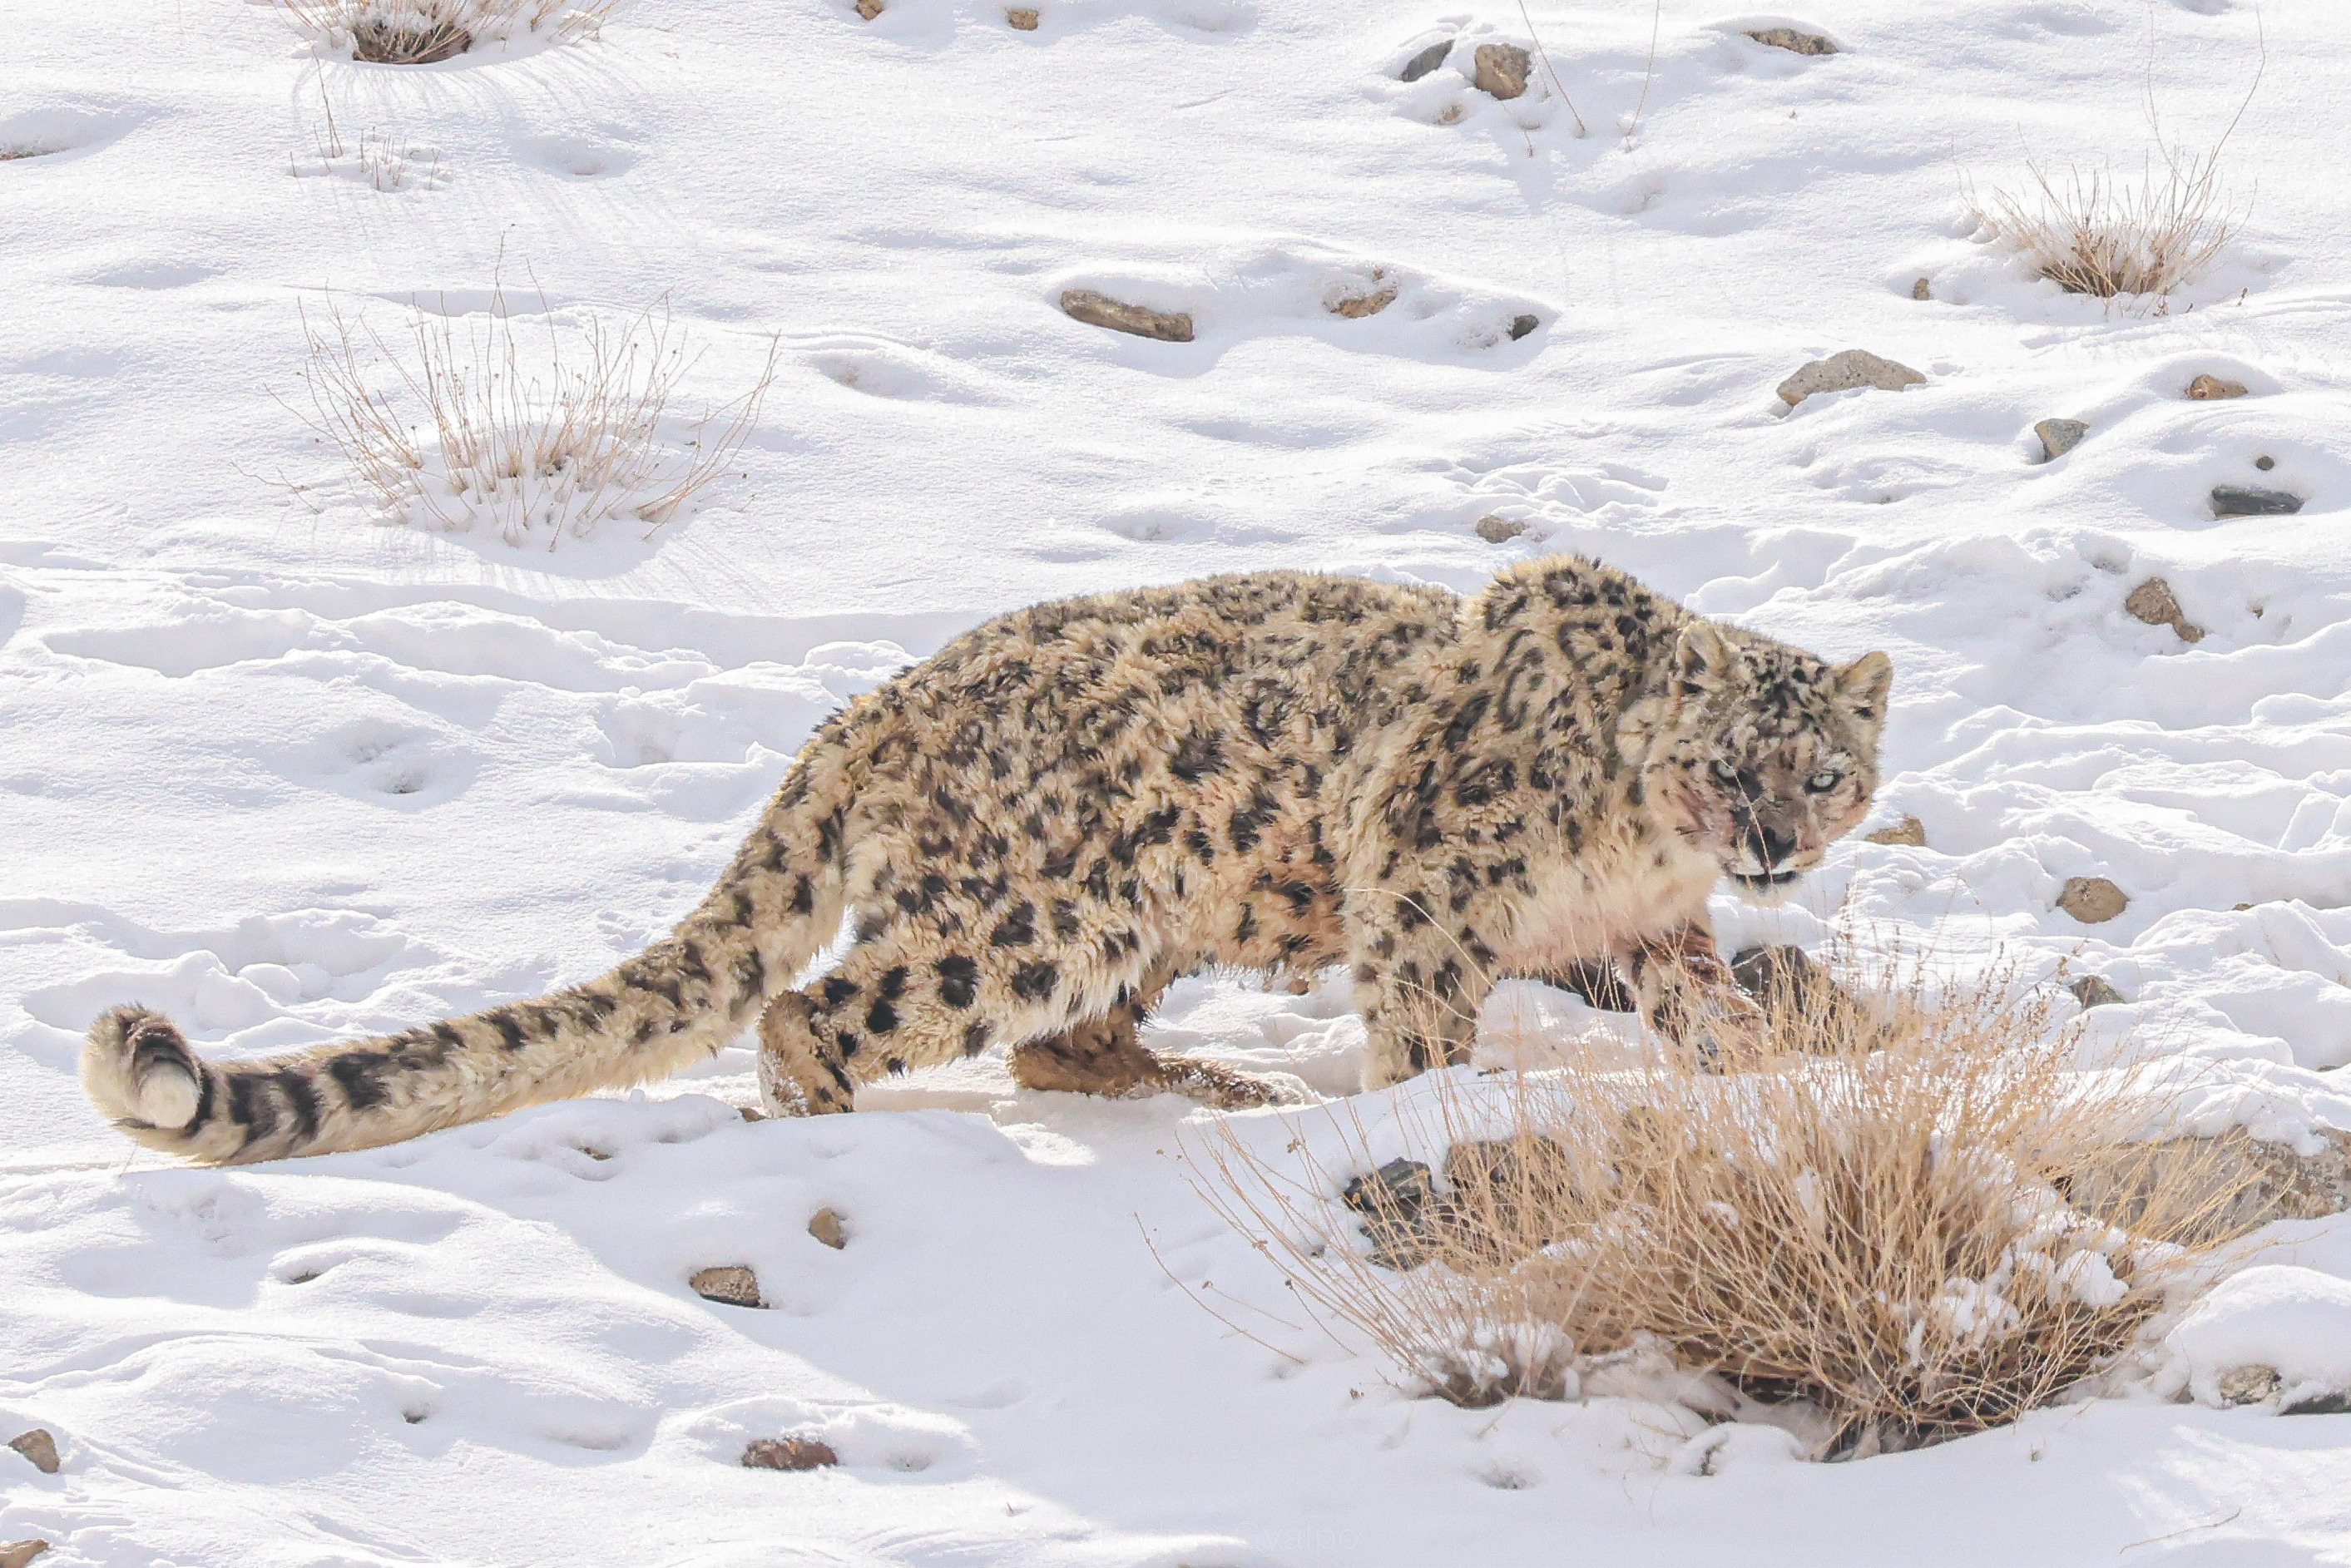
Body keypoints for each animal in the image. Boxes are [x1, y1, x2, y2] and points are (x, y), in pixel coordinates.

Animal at [87, 561, 1890, 1165]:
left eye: (1823, 770)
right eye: (1726, 760)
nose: (1771, 843)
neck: (1642, 853)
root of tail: (873, 706)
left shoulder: (1652, 935)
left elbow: (1709, 1010)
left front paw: (1764, 1070)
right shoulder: (1430, 886)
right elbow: (1426, 1021)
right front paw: (1427, 1106)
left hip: (1128, 918)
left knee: (1056, 1044)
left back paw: (1199, 1082)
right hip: (1044, 907)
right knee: (832, 1010)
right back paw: (827, 1118)